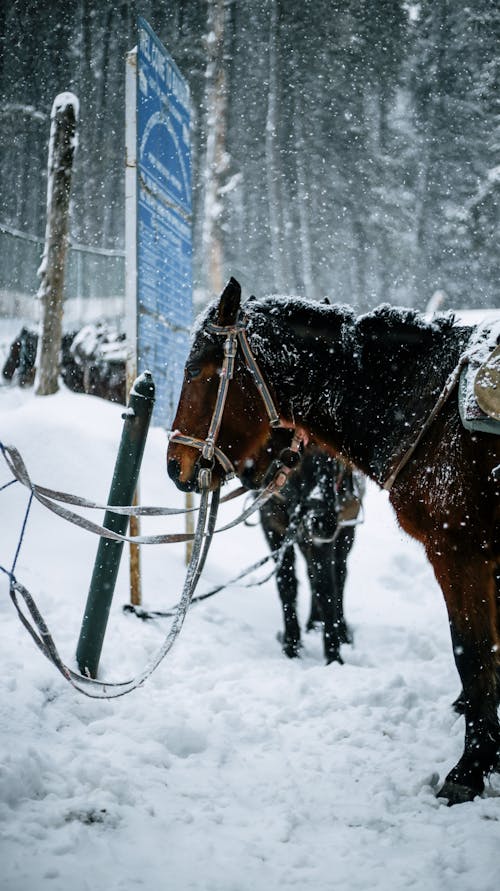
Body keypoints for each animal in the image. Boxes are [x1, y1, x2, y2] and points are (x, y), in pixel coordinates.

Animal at [241, 428, 360, 664]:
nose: (321, 520)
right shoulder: (273, 528)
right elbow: (287, 583)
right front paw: (291, 645)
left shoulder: (323, 537)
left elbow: (327, 588)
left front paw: (334, 655)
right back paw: (313, 622)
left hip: (344, 533)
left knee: (340, 574)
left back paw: (341, 631)